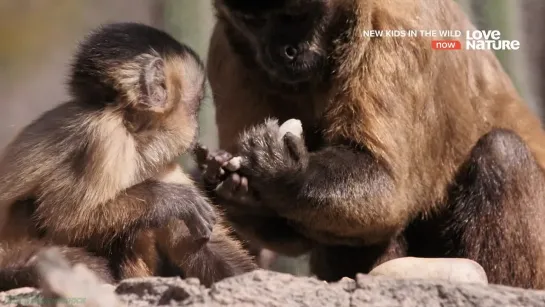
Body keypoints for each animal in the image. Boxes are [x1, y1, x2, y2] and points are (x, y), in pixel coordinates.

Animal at [0, 22, 256, 292]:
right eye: (195, 107)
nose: (196, 127)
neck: (130, 126)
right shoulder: (105, 137)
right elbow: (64, 219)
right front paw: (171, 199)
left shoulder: (157, 161)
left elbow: (197, 242)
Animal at [199, 0, 545, 288]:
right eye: (253, 23)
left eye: (296, 17)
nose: (284, 51)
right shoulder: (225, 51)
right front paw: (236, 191)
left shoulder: (398, 27)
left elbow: (387, 190)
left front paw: (283, 171)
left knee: (502, 152)